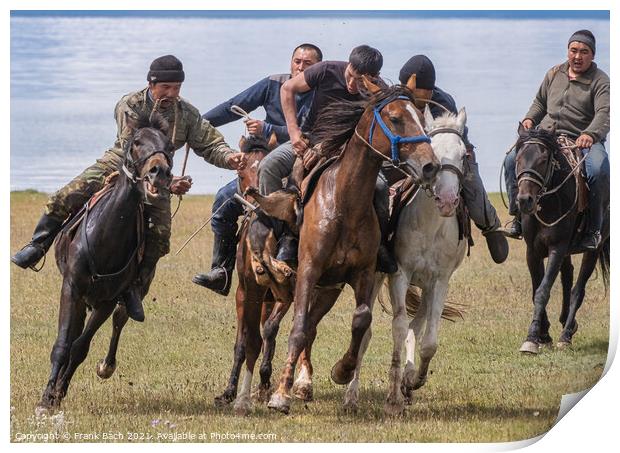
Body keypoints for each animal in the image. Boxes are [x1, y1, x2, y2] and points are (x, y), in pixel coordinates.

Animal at [36, 111, 173, 412]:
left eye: (168, 145)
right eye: (136, 142)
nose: (159, 172)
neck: (106, 236)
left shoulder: (108, 301)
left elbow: (79, 347)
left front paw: (59, 391)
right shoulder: (71, 288)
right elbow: (63, 344)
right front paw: (46, 399)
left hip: (129, 294)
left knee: (120, 320)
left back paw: (105, 367)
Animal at [268, 77, 440, 414]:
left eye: (420, 116)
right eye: (395, 118)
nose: (430, 166)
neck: (343, 203)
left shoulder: (362, 273)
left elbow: (361, 320)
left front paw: (342, 370)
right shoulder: (308, 271)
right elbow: (296, 329)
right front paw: (280, 395)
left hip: (328, 290)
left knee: (312, 327)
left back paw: (304, 384)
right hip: (290, 285)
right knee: (277, 325)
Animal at [342, 107, 468, 414]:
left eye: (465, 155)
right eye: (435, 151)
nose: (448, 200)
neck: (430, 225)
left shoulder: (439, 281)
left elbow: (429, 341)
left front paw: (412, 381)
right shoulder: (400, 274)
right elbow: (397, 328)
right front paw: (392, 399)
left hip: (424, 287)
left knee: (417, 325)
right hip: (377, 278)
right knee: (367, 334)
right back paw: (351, 395)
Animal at [512, 124, 612, 354]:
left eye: (542, 160)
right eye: (518, 158)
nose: (524, 200)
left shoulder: (557, 248)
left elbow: (543, 290)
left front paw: (532, 338)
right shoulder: (533, 251)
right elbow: (536, 289)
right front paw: (543, 334)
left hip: (593, 250)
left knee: (577, 290)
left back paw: (566, 334)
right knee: (568, 276)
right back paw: (566, 323)